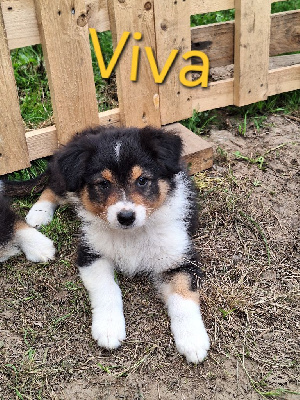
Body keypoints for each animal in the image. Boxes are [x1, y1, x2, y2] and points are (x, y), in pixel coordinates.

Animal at [26, 126, 211, 364]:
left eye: (142, 180)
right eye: (103, 184)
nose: (126, 217)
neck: (131, 235)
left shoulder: (179, 256)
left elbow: (183, 296)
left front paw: (192, 340)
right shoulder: (91, 252)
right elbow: (107, 288)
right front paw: (108, 328)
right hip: (67, 180)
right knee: (53, 186)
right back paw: (38, 214)